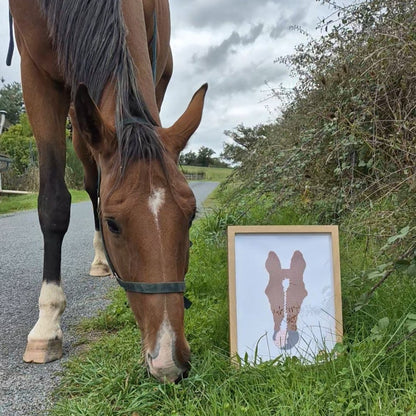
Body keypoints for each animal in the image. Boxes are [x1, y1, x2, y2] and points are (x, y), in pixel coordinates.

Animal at [8, 0, 206, 384]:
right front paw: (47, 325)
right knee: (91, 183)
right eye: (113, 223)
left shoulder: (155, 70)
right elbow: (54, 203)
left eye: (191, 216)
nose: (168, 363)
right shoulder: (34, 74)